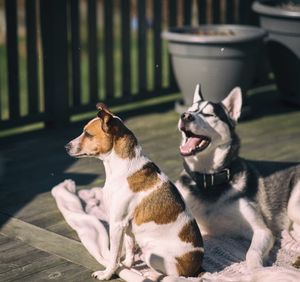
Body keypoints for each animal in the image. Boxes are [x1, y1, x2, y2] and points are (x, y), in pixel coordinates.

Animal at [64, 104, 203, 280]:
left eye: (88, 134)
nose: (66, 147)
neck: (120, 167)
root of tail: (197, 268)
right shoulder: (127, 227)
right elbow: (129, 249)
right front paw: (127, 266)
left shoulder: (116, 224)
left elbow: (113, 256)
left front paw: (107, 273)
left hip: (153, 254)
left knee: (173, 276)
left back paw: (151, 274)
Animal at [176, 84, 300, 268]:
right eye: (190, 110)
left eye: (208, 114)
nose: (185, 116)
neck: (209, 180)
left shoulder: (262, 231)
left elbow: (252, 253)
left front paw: (256, 269)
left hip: (293, 206)